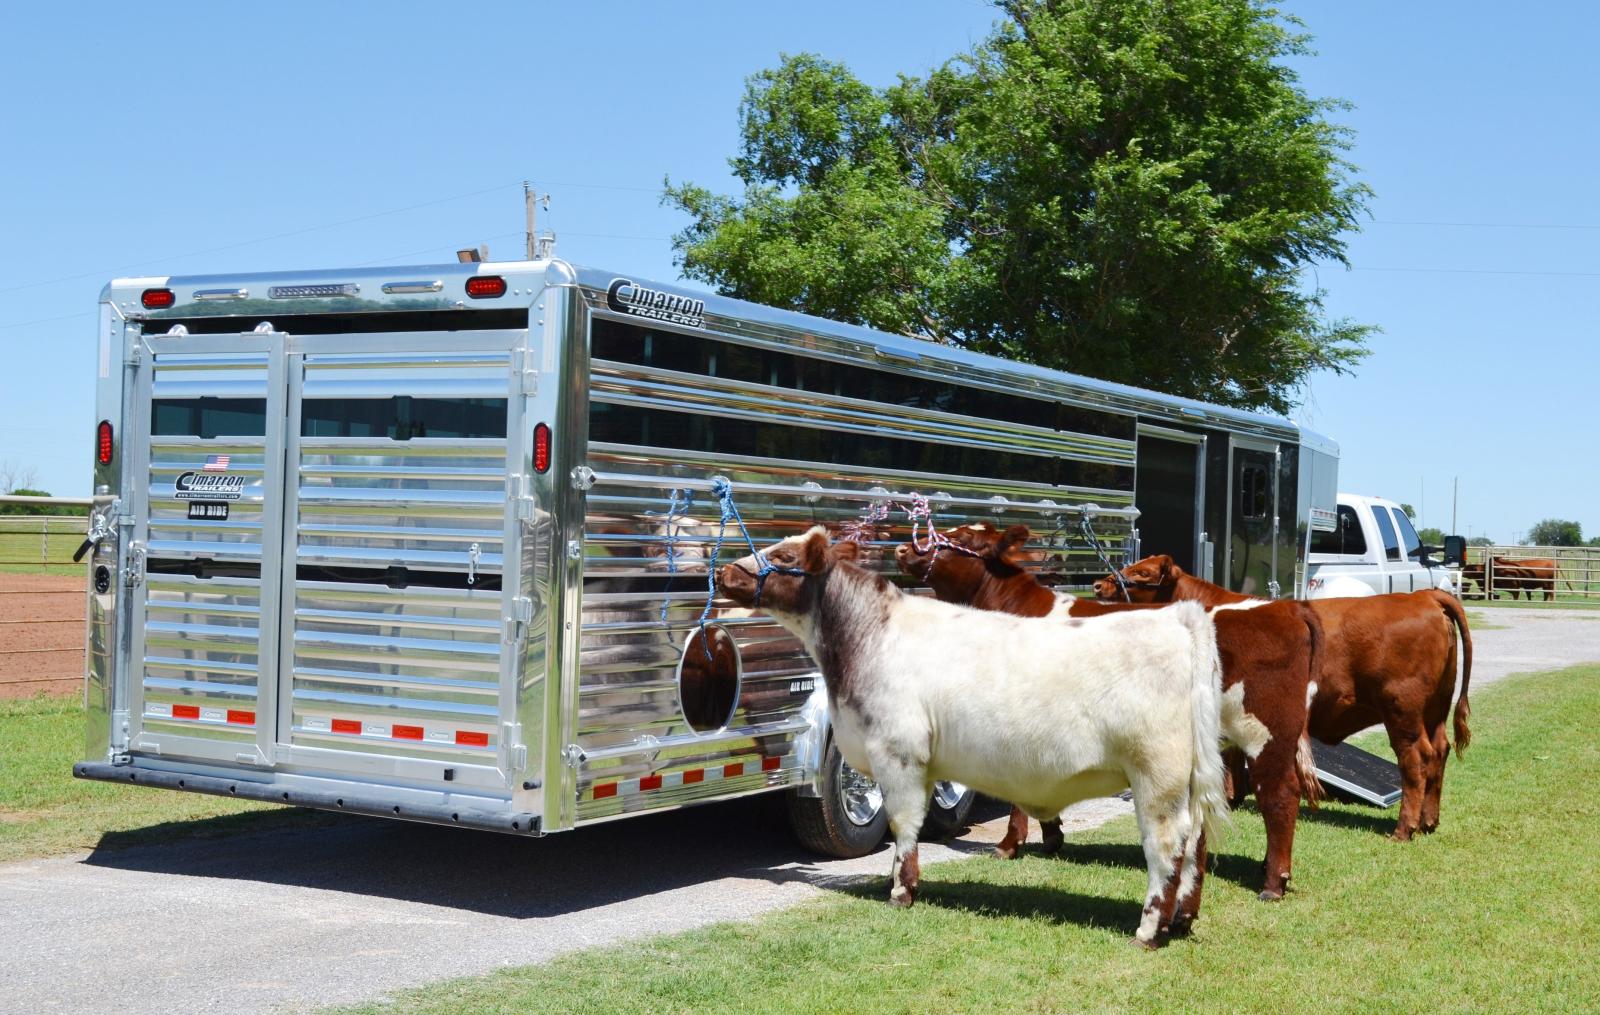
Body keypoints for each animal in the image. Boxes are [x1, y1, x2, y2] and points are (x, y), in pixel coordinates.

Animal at [720, 525, 1228, 947]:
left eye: (783, 554)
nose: (724, 571)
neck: (867, 638)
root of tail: (1179, 618)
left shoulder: (898, 753)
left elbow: (904, 825)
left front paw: (901, 892)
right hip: (1187, 780)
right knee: (1196, 846)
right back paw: (1181, 920)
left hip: (1157, 775)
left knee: (1167, 847)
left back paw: (1149, 931)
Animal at [1088, 553, 1472, 838]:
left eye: (1142, 572)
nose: (1097, 583)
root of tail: (1422, 596)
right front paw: (1234, 797)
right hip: (1435, 708)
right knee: (1439, 751)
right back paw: (1428, 822)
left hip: (1402, 709)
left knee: (1416, 759)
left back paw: (1404, 829)